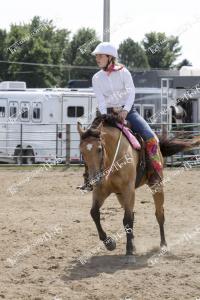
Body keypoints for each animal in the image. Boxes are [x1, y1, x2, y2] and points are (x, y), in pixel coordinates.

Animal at [77, 116, 199, 262]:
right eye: (82, 151)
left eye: (99, 149)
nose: (94, 179)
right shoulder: (100, 190)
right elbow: (94, 213)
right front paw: (110, 243)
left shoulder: (129, 190)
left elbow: (127, 219)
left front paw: (129, 251)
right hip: (119, 194)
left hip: (156, 186)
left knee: (159, 214)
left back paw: (163, 245)